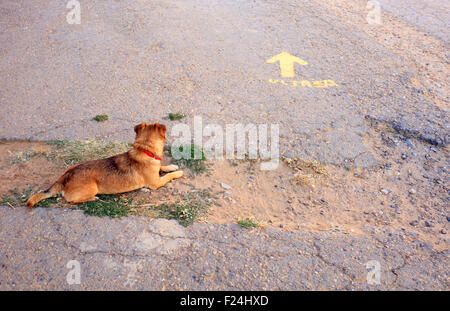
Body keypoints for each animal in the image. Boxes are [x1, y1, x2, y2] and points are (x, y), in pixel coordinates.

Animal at [26, 123, 183, 208]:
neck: (144, 150)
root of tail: (64, 177)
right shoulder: (156, 183)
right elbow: (168, 176)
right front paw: (178, 172)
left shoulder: (156, 172)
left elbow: (163, 167)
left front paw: (172, 166)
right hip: (92, 188)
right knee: (71, 201)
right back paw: (93, 199)